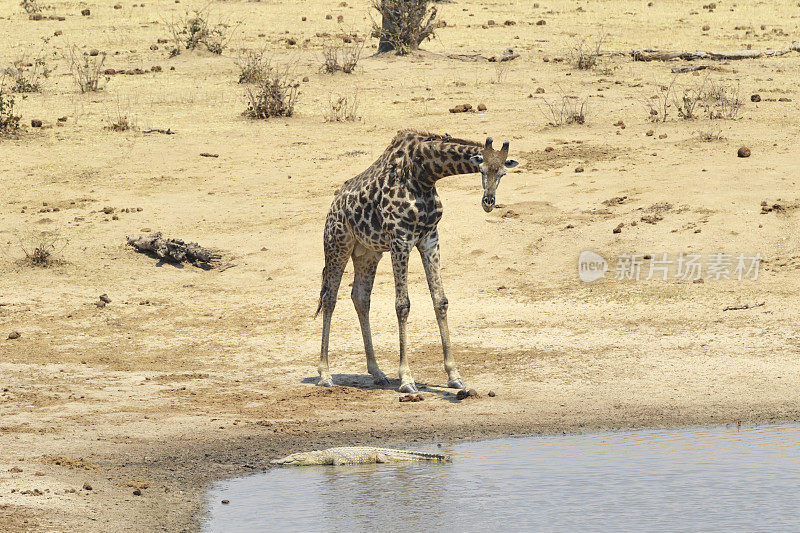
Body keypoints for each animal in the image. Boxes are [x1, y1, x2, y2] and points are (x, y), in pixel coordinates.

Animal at [312, 131, 520, 392]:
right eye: (481, 168)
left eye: (502, 173)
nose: (488, 202)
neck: (424, 174)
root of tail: (332, 206)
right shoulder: (400, 239)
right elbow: (403, 305)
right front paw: (407, 379)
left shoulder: (429, 238)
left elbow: (440, 301)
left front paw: (454, 376)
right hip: (337, 244)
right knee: (329, 298)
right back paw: (325, 374)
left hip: (367, 253)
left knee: (360, 298)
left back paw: (377, 372)